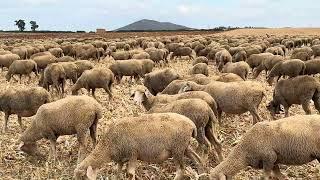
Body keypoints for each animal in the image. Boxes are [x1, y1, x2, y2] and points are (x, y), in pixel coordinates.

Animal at [74, 112, 204, 180]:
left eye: (82, 177)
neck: (107, 147)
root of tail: (191, 124)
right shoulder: (121, 159)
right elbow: (118, 172)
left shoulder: (133, 154)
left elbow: (130, 173)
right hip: (184, 147)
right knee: (197, 159)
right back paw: (202, 172)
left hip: (177, 149)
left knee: (181, 169)